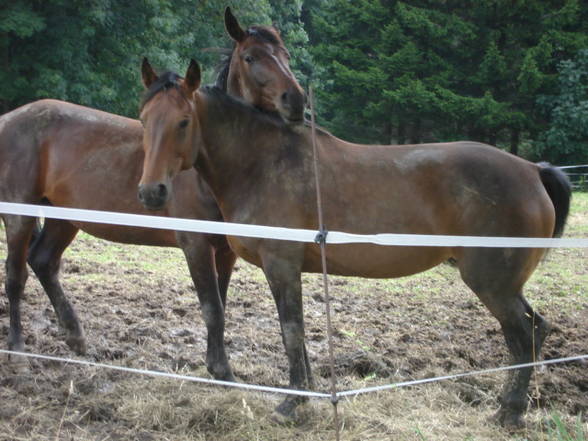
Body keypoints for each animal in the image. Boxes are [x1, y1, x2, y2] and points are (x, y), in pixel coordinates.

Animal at [0, 6, 304, 384]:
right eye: (251, 57)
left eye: (286, 55)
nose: (296, 100)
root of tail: (8, 119)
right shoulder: (195, 244)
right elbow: (212, 308)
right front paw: (222, 370)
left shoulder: (225, 250)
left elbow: (220, 301)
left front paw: (215, 366)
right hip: (19, 213)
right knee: (15, 275)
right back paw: (18, 351)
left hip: (64, 217)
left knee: (43, 261)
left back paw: (75, 336)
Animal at [137, 60, 568, 428]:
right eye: (144, 120)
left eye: (183, 122)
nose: (151, 192)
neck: (263, 164)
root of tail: (532, 170)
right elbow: (296, 332)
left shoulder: (281, 264)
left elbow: (291, 330)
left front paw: (292, 403)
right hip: (505, 285)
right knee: (533, 332)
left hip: (492, 284)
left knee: (523, 336)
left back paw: (508, 413)